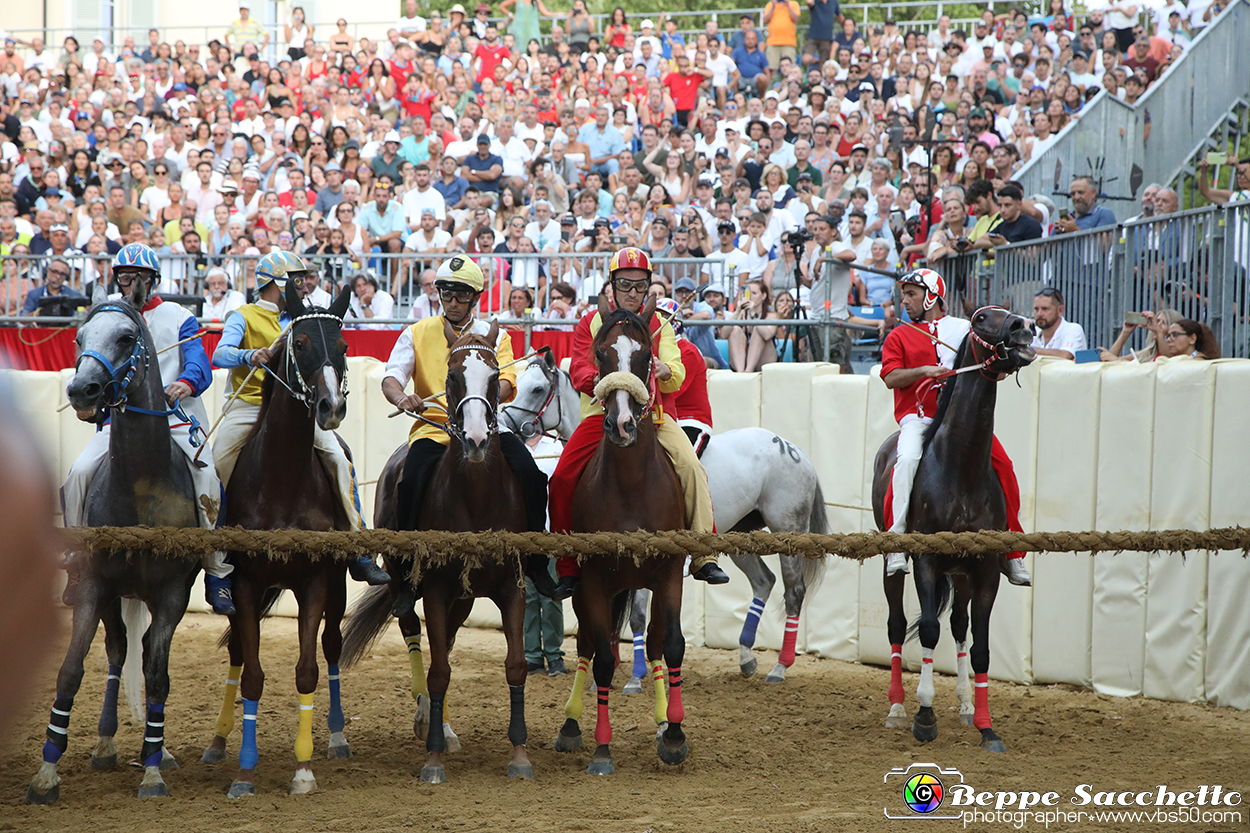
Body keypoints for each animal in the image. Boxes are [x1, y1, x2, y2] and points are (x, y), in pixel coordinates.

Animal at [28, 282, 197, 800]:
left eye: (125, 337)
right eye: (79, 337)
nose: (81, 389)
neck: (140, 486)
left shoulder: (171, 595)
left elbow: (158, 677)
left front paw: (154, 769)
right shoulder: (93, 587)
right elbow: (71, 669)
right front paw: (47, 772)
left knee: (142, 658)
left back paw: (157, 750)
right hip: (111, 596)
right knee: (119, 651)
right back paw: (105, 744)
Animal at [198, 277, 357, 790]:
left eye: (344, 346)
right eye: (300, 344)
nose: (332, 408)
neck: (283, 481)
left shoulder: (315, 582)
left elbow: (307, 669)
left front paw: (303, 769)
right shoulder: (246, 584)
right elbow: (251, 674)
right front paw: (244, 772)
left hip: (338, 587)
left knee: (332, 644)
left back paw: (338, 737)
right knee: (236, 653)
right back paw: (218, 742)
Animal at [340, 320, 535, 780]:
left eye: (495, 378)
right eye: (452, 378)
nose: (478, 439)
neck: (478, 496)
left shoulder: (512, 589)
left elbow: (514, 664)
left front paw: (520, 755)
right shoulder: (435, 589)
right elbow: (439, 672)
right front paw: (433, 758)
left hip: (463, 598)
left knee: (445, 641)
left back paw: (441, 724)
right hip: (403, 583)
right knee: (413, 630)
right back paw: (427, 720)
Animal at [557, 296, 695, 770]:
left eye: (645, 356)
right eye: (600, 354)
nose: (621, 425)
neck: (632, 485)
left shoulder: (669, 574)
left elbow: (671, 644)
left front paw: (674, 734)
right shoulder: (595, 582)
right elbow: (600, 658)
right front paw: (602, 748)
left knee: (651, 646)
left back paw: (662, 719)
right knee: (586, 646)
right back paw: (571, 725)